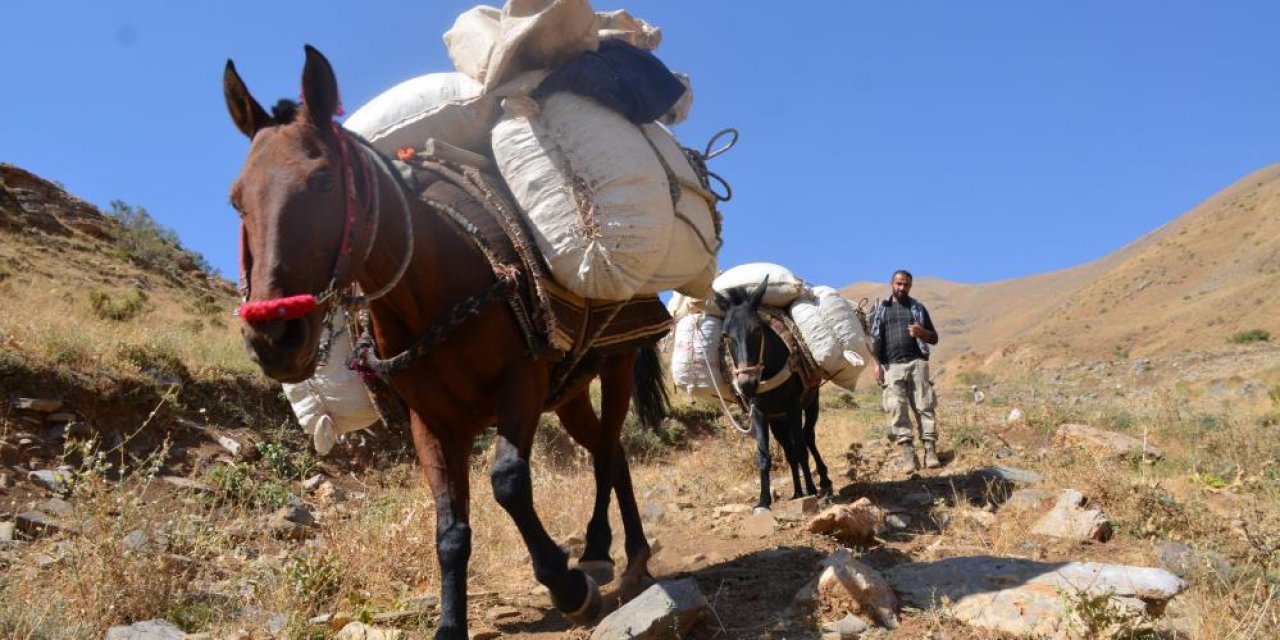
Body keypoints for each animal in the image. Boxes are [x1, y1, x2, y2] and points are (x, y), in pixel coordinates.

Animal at [224, 46, 670, 640]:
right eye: (236, 200)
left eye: (323, 182)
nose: (274, 337)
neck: (434, 295)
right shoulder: (431, 423)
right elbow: (450, 529)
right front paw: (450, 624)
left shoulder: (520, 384)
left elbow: (508, 482)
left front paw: (567, 586)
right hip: (571, 392)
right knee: (609, 448)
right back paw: (616, 554)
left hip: (617, 360)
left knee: (606, 452)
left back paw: (613, 553)